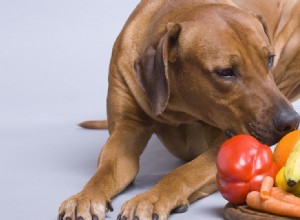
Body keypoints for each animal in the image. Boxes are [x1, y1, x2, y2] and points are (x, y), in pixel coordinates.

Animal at [58, 0, 300, 219]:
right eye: (225, 72)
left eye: (269, 59)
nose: (290, 121)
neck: (181, 108)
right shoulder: (126, 129)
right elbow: (106, 169)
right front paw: (85, 197)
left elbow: (185, 173)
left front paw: (150, 199)